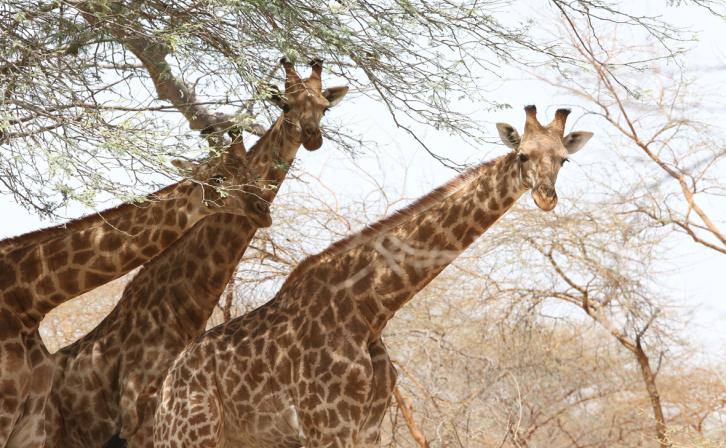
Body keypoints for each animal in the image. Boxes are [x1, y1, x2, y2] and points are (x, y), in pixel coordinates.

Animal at [153, 105, 594, 448]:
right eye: (522, 155)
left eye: (563, 160)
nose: (546, 196)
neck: (372, 307)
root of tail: (167, 383)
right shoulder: (328, 424)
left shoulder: (367, 427)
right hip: (189, 432)